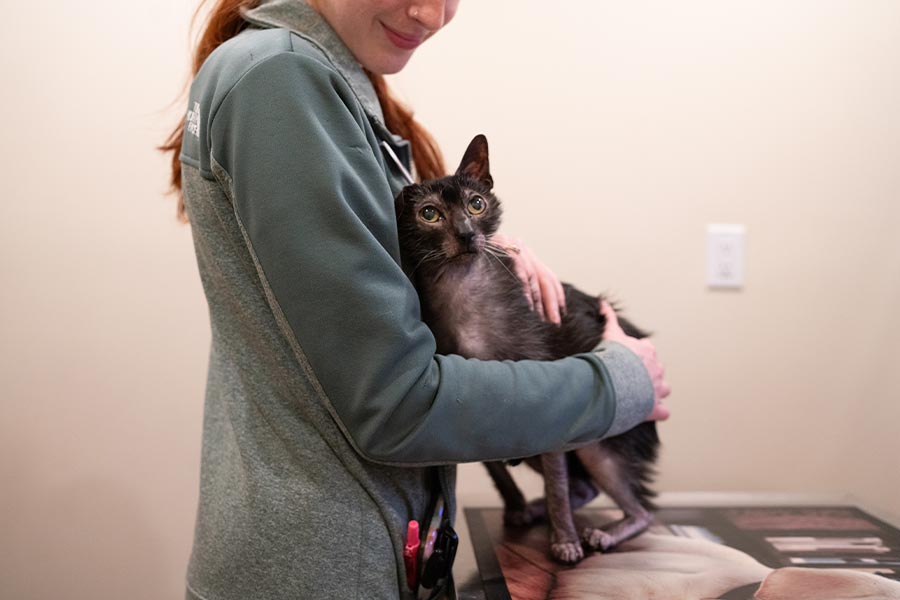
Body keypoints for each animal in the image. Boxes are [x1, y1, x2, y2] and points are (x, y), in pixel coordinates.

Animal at [398, 135, 656, 564]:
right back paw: (536, 511)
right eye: (429, 214)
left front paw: (564, 541)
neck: (462, 291)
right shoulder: (469, 418)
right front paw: (518, 507)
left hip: (598, 446)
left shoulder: (549, 407)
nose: (466, 234)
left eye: (476, 204)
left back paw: (599, 533)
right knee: (585, 488)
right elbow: (499, 472)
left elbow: (557, 485)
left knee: (642, 510)